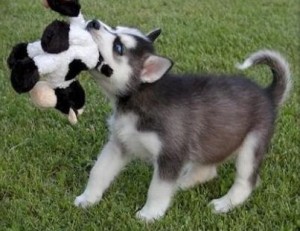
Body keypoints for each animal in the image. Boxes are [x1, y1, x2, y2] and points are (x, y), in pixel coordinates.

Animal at [74, 19, 292, 220]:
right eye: (115, 27)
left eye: (118, 47)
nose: (93, 22)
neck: (139, 99)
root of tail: (267, 94)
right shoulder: (119, 143)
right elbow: (98, 171)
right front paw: (87, 199)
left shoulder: (171, 154)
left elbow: (157, 188)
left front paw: (150, 214)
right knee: (208, 170)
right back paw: (181, 184)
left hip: (252, 144)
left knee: (247, 181)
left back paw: (225, 203)